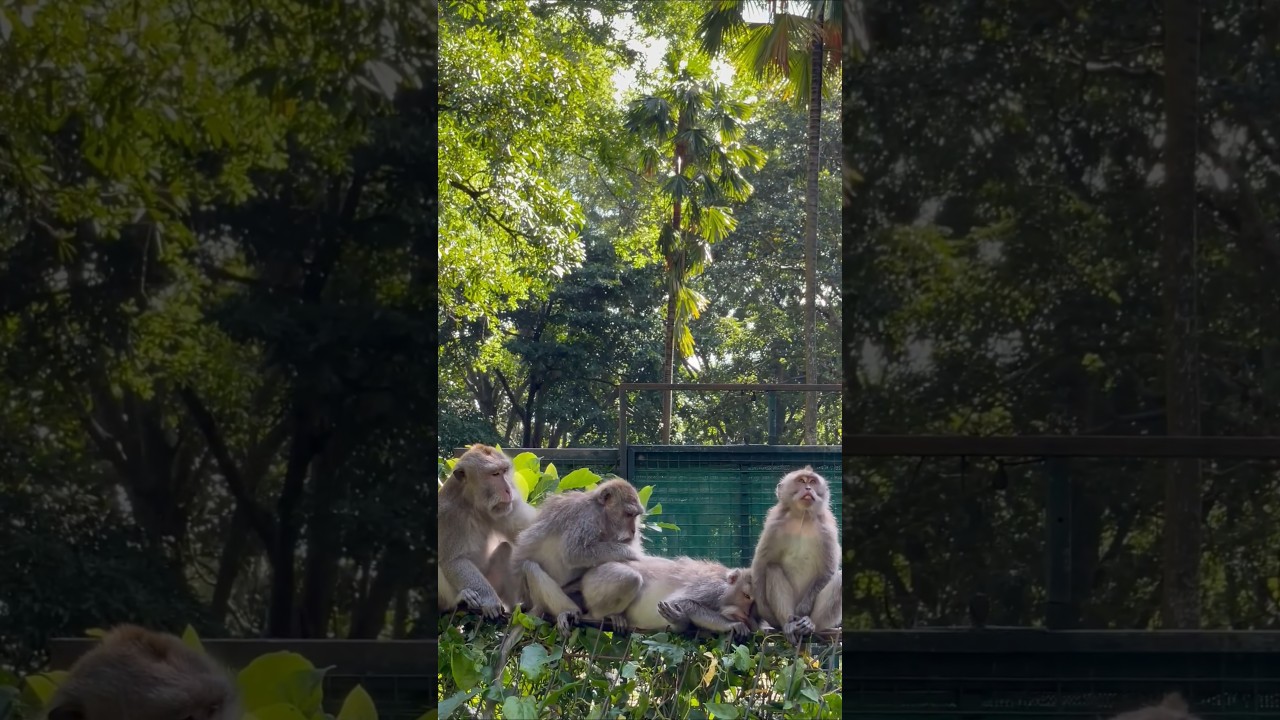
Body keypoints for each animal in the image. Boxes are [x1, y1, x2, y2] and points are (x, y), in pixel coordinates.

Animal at [438, 444, 538, 618]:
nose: (509, 490)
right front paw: (490, 599)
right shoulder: (448, 516)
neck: (473, 506)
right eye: (495, 474)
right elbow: (453, 561)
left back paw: (514, 607)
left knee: (506, 549)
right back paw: (459, 600)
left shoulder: (508, 508)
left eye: (504, 471)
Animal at [511, 478, 646, 635]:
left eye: (635, 516)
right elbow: (574, 553)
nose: (634, 531)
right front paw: (632, 554)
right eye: (628, 514)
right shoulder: (586, 517)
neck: (602, 515)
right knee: (530, 567)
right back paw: (568, 611)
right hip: (534, 597)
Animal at [578, 556, 756, 639]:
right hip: (596, 580)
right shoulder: (713, 588)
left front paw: (680, 621)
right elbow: (678, 601)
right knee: (630, 578)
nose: (746, 613)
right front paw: (732, 625)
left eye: (754, 605)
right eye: (746, 595)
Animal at [749, 466, 842, 645]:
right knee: (772, 569)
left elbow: (828, 570)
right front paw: (766, 613)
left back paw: (809, 624)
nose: (808, 488)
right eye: (801, 481)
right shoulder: (774, 526)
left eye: (812, 481)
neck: (802, 518)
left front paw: (804, 608)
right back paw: (789, 624)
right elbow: (761, 564)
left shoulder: (827, 529)